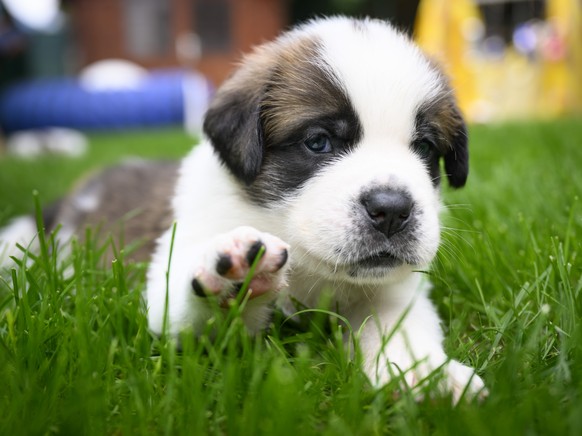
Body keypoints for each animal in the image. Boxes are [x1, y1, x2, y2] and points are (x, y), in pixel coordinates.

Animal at [1, 17, 488, 402]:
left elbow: (396, 324)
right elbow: (185, 309)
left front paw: (426, 374)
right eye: (318, 142)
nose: (392, 210)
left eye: (424, 148)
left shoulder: (392, 290)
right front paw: (232, 282)